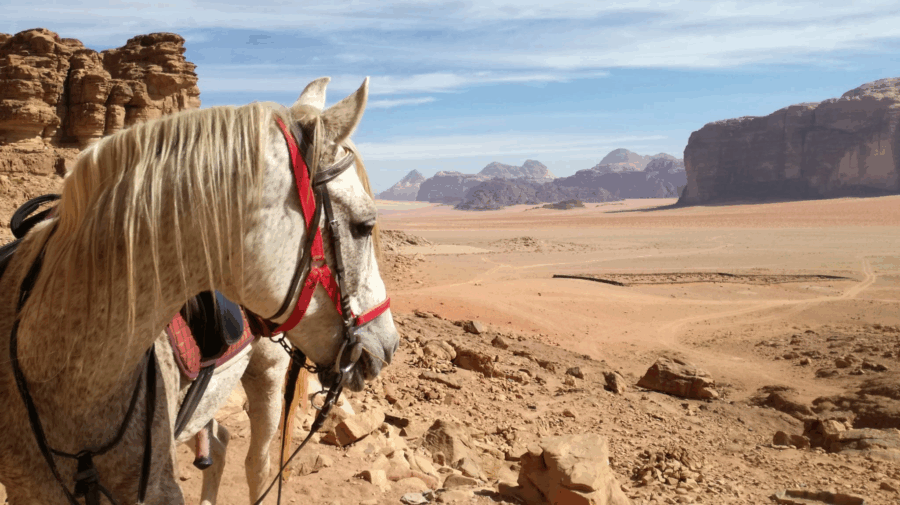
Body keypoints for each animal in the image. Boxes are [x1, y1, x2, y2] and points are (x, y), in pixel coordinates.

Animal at [0, 76, 399, 504]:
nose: (388, 344)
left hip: (267, 374)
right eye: (364, 226)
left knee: (256, 465)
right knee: (221, 442)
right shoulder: (29, 490)